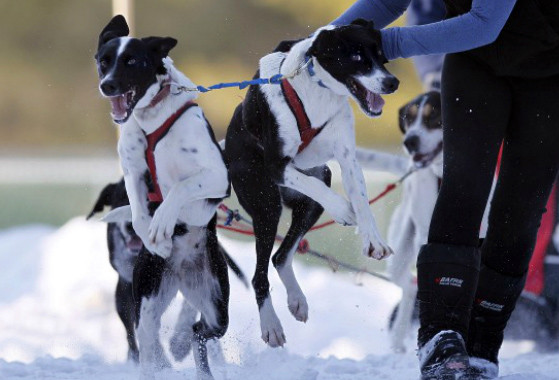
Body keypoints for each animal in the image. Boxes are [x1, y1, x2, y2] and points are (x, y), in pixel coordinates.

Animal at [95, 15, 231, 380]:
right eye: (104, 61)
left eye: (132, 61)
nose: (107, 85)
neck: (152, 122)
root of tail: (183, 273)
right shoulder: (132, 172)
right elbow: (139, 211)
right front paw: (152, 234)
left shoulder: (217, 177)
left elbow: (180, 190)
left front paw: (162, 225)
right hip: (148, 297)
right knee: (148, 338)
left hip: (216, 305)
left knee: (200, 332)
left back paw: (190, 349)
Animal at [223, 19, 398, 348]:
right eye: (357, 57)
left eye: (381, 56)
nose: (392, 82)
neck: (317, 94)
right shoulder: (277, 166)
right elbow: (328, 193)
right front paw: (343, 209)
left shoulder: (347, 158)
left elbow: (362, 201)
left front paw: (374, 240)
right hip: (266, 205)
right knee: (259, 274)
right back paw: (271, 325)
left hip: (312, 197)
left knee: (280, 256)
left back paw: (297, 300)